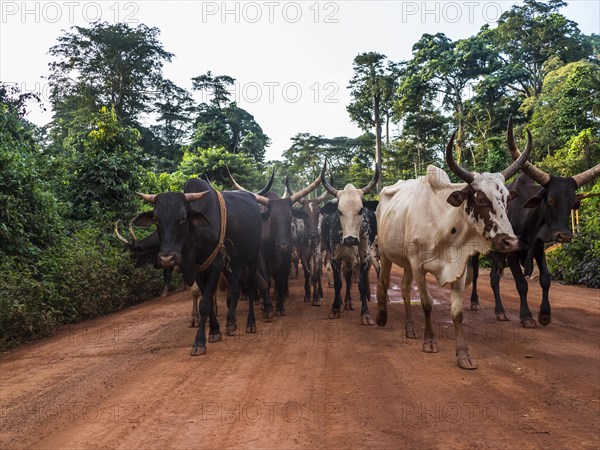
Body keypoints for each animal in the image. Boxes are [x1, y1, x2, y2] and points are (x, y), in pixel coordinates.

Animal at [136, 177, 262, 356]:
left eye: (182, 218)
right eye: (156, 219)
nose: (167, 258)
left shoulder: (216, 264)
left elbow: (205, 303)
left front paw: (200, 341)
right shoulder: (199, 270)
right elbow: (206, 301)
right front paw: (215, 331)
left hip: (252, 258)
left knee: (251, 288)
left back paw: (251, 323)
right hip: (233, 263)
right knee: (236, 288)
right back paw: (231, 322)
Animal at [318, 163, 380, 326]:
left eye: (360, 210)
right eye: (339, 211)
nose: (351, 240)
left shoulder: (364, 257)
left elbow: (361, 285)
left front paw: (366, 314)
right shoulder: (334, 257)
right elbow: (337, 283)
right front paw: (334, 309)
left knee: (347, 277)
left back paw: (348, 302)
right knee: (343, 278)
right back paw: (341, 304)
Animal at [378, 129, 532, 370]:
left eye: (506, 199)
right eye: (481, 198)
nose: (510, 242)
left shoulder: (458, 268)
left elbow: (457, 313)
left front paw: (463, 354)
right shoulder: (418, 265)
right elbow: (427, 303)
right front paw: (430, 341)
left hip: (406, 263)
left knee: (404, 289)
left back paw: (410, 328)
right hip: (386, 254)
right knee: (385, 283)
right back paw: (382, 317)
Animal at [472, 119, 596, 328]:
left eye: (572, 203)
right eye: (551, 200)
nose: (564, 235)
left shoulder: (537, 247)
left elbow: (545, 279)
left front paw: (544, 314)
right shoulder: (512, 252)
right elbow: (521, 283)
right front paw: (526, 316)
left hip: (497, 255)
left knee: (494, 277)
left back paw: (500, 312)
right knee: (474, 274)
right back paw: (474, 302)